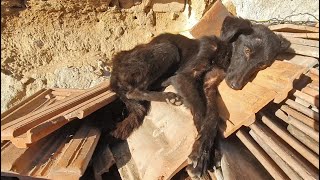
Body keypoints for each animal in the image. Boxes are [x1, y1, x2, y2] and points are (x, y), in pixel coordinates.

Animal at [110, 15, 290, 179]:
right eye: (247, 50)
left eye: (262, 65)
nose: (235, 85)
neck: (223, 54)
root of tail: (114, 70)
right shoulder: (185, 77)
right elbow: (200, 111)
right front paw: (202, 155)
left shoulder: (209, 86)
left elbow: (212, 117)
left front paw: (209, 152)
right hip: (168, 49)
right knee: (133, 91)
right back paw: (167, 95)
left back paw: (169, 94)